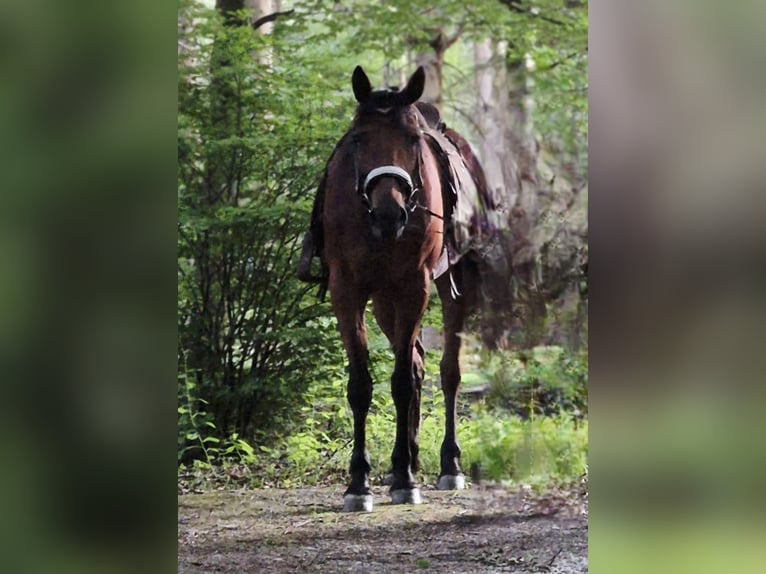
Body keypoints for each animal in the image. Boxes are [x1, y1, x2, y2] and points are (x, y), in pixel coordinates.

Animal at [303, 65, 507, 511]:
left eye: (413, 140)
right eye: (359, 139)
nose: (389, 214)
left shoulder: (414, 286)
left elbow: (401, 382)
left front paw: (406, 481)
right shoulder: (348, 291)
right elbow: (362, 385)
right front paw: (359, 482)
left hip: (451, 285)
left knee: (447, 372)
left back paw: (447, 465)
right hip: (384, 299)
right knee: (414, 362)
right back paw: (406, 460)